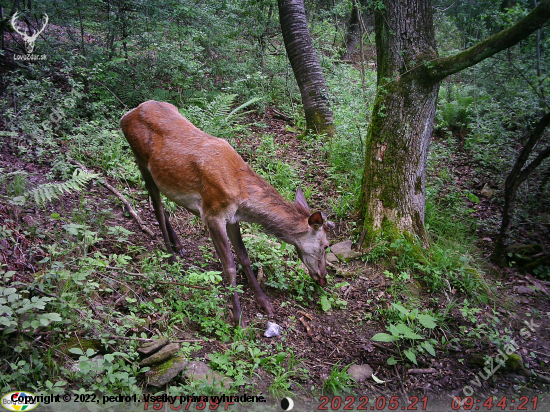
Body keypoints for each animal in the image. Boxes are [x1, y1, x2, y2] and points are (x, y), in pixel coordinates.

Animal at [122, 100, 334, 326]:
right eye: (326, 245)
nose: (323, 277)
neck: (240, 191)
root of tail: (127, 114)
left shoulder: (232, 218)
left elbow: (244, 257)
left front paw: (265, 304)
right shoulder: (212, 214)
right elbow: (229, 266)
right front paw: (239, 319)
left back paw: (178, 246)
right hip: (140, 159)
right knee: (157, 206)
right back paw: (170, 255)